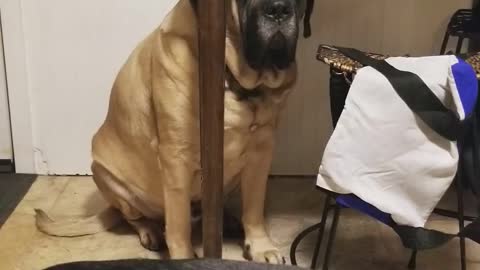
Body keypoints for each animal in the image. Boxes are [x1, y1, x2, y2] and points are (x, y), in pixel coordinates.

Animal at [38, 0, 316, 264]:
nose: (278, 9)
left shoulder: (262, 149)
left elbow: (254, 208)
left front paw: (260, 246)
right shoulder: (176, 156)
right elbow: (179, 224)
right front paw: (184, 256)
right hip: (104, 173)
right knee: (133, 216)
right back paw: (150, 231)